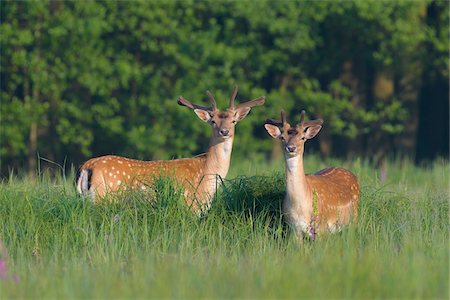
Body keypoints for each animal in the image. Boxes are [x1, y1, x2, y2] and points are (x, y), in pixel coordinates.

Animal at [76, 85, 266, 212]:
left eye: (233, 121)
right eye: (213, 121)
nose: (224, 131)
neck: (208, 174)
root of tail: (87, 166)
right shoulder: (191, 205)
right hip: (104, 197)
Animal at [264, 109, 358, 238]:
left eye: (303, 138)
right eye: (282, 137)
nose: (291, 148)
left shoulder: (322, 227)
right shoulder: (293, 229)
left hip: (354, 218)